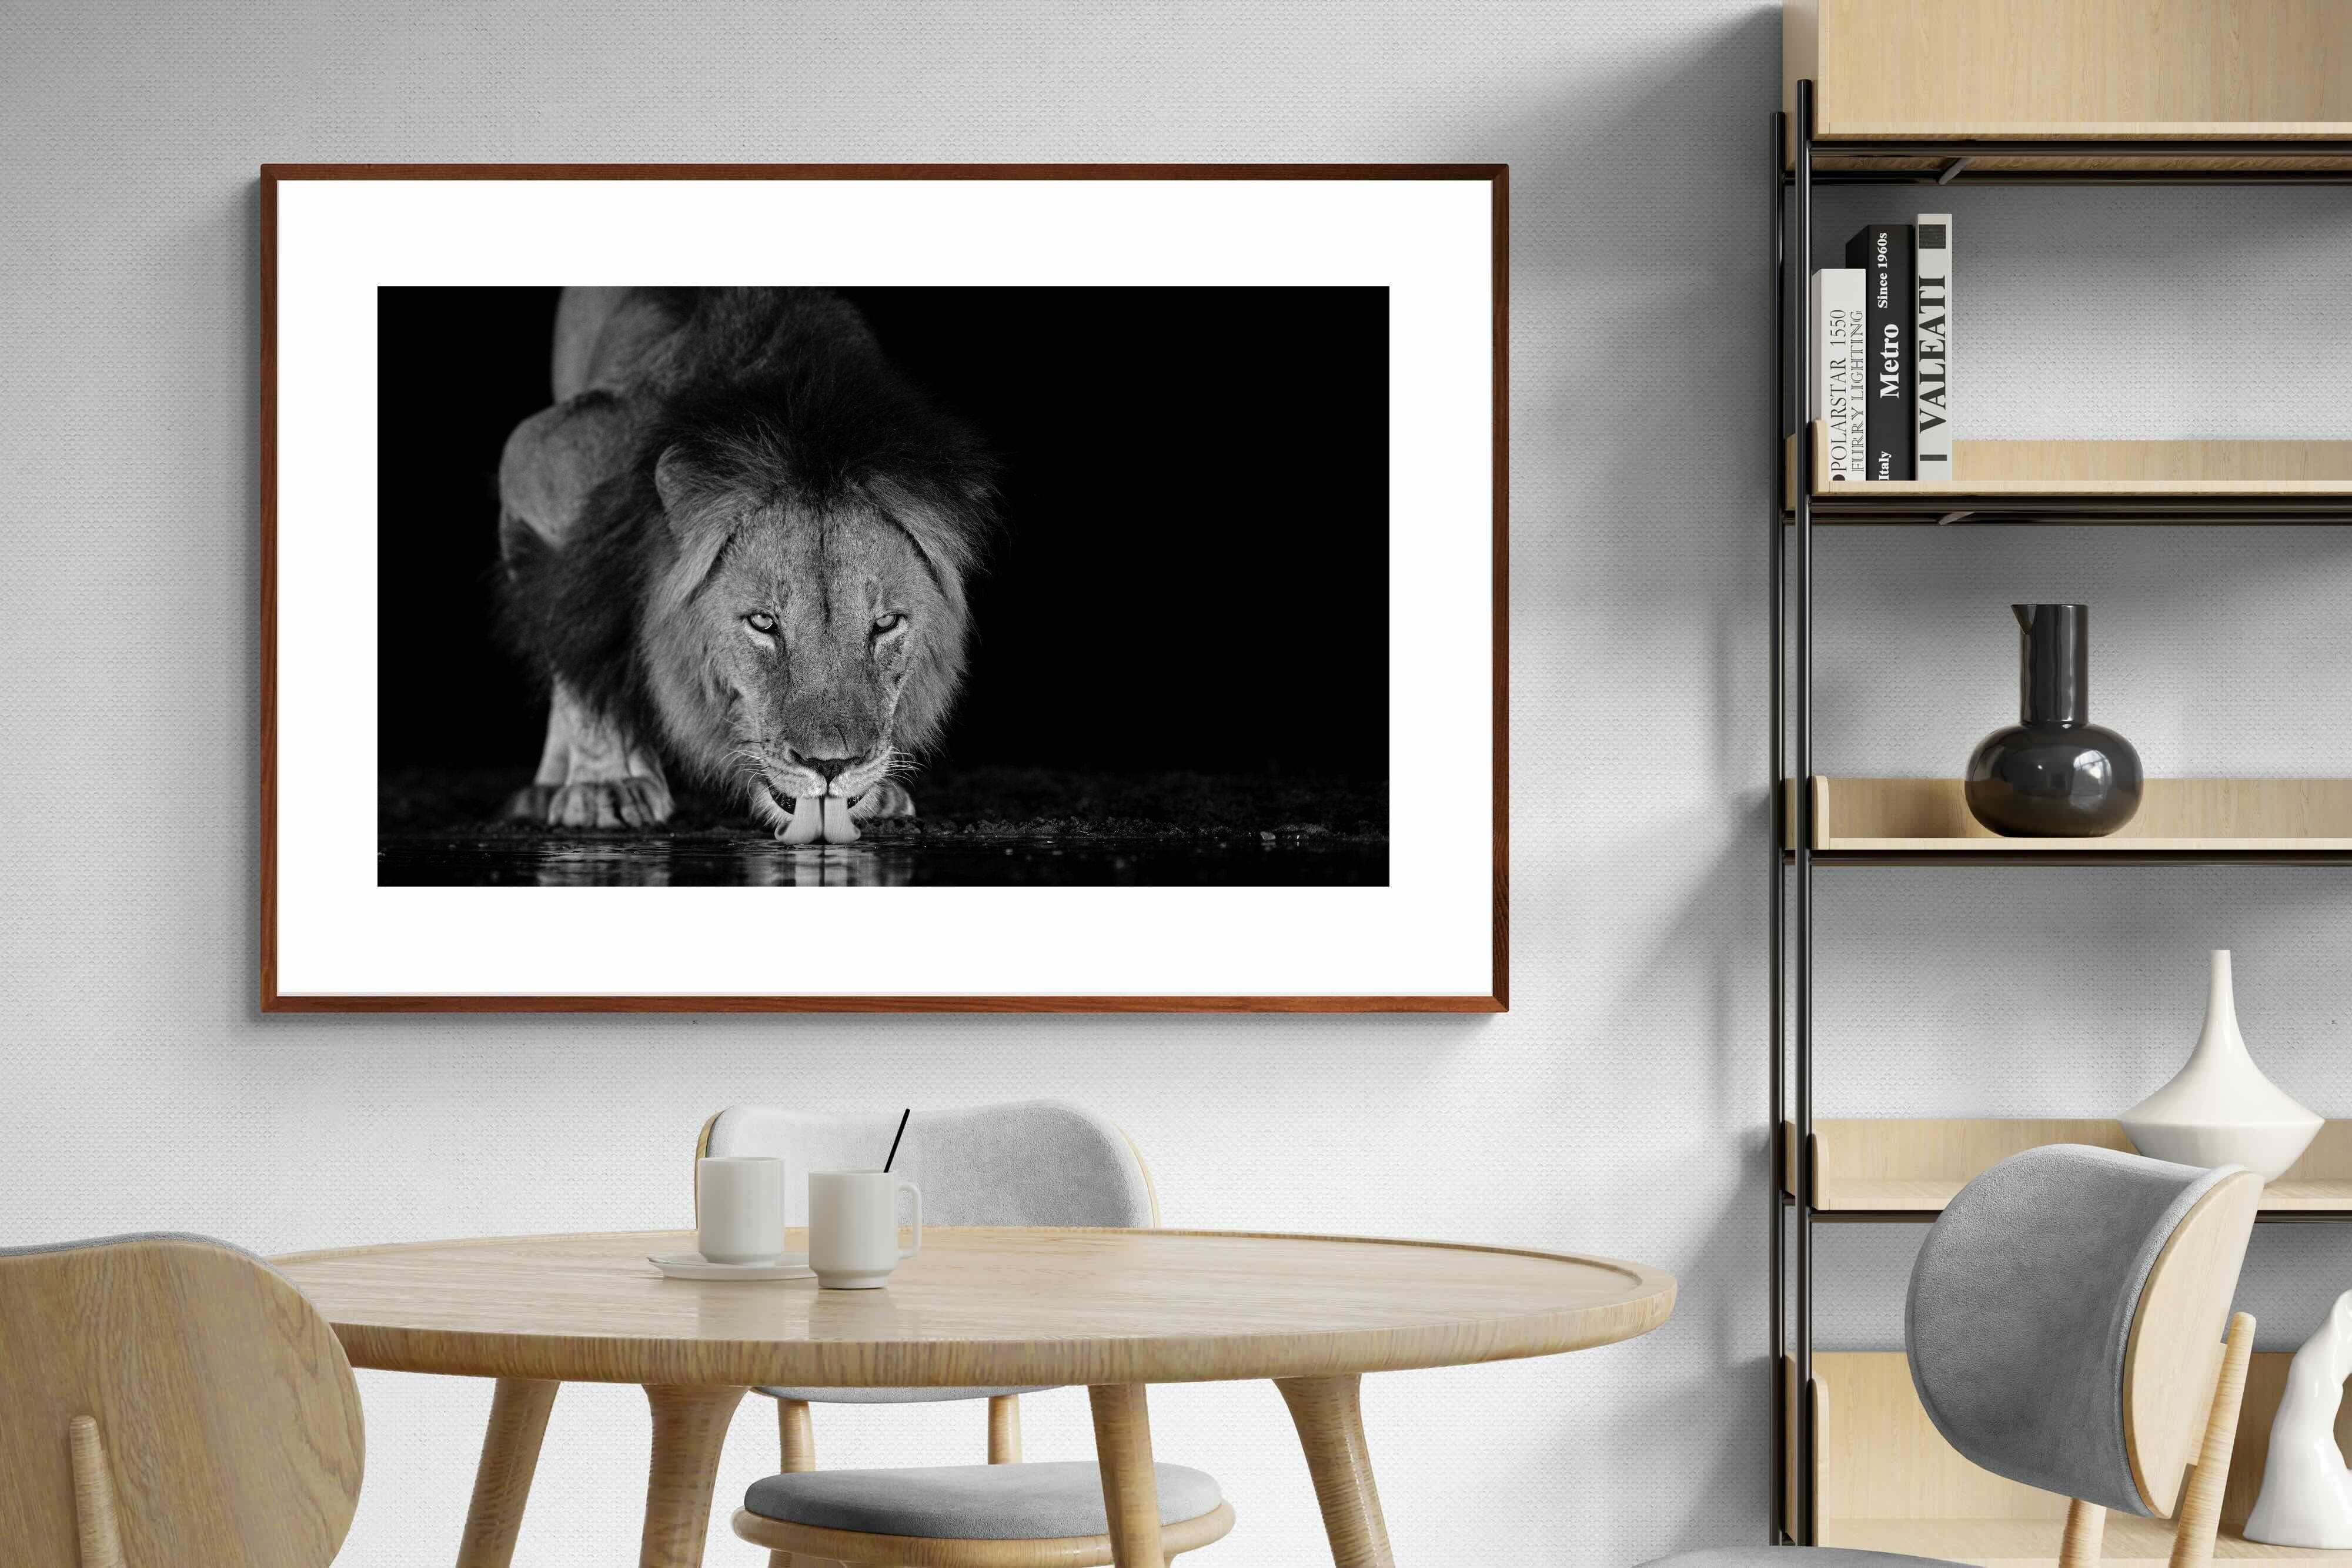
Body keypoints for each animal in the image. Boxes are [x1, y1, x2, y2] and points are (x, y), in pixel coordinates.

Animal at [494, 288, 993, 844]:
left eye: (885, 623)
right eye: (763, 623)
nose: (831, 766)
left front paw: (878, 791)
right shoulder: (539, 460)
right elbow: (579, 637)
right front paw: (605, 785)